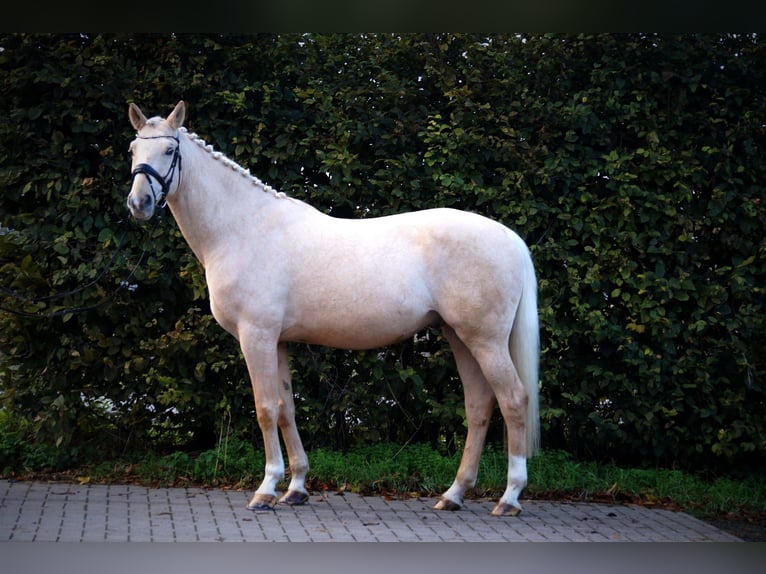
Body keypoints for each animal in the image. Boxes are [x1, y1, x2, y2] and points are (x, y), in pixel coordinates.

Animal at [127, 99, 540, 516]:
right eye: (133, 150)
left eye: (170, 150)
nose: (139, 203)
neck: (244, 228)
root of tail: (509, 237)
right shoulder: (277, 341)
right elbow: (286, 408)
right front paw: (296, 487)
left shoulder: (256, 337)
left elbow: (265, 408)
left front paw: (266, 488)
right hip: (459, 337)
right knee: (479, 407)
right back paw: (453, 494)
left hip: (485, 341)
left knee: (513, 400)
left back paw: (509, 497)